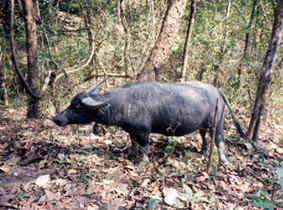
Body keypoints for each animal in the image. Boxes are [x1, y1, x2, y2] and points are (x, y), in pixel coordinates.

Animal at [52, 79, 246, 163]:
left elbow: (145, 147)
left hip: (218, 123)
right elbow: (133, 143)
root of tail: (217, 90)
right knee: (204, 137)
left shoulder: (144, 132)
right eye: (71, 103)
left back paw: (223, 160)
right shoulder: (132, 131)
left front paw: (142, 162)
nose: (56, 118)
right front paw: (131, 154)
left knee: (219, 140)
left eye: (77, 107)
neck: (124, 103)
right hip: (203, 126)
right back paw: (204, 152)